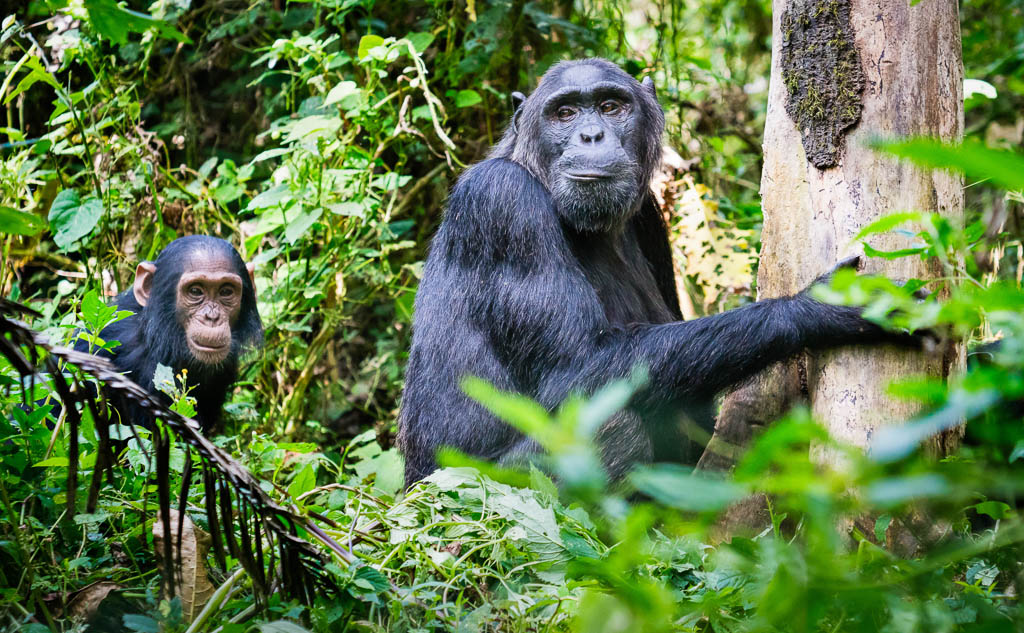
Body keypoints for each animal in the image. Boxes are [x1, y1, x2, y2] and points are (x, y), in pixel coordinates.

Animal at [397, 57, 921, 483]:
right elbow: (576, 368)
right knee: (610, 425)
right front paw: (822, 308)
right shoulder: (503, 205)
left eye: (611, 106)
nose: (591, 135)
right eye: (564, 114)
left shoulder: (650, 215)